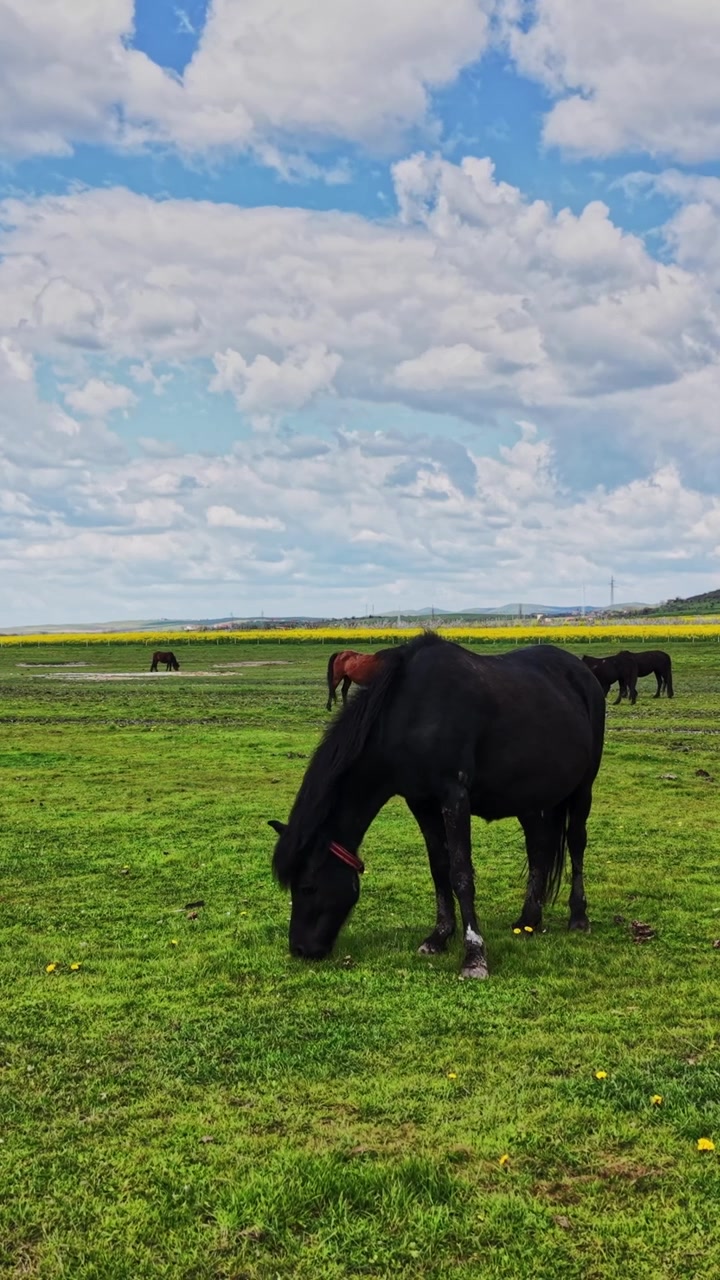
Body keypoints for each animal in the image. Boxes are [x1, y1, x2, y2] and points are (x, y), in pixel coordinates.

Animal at [270, 632, 605, 980]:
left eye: (307, 887)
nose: (300, 948)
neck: (410, 714)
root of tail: (583, 673)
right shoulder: (422, 803)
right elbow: (439, 867)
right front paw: (440, 936)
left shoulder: (454, 797)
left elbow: (461, 872)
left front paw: (474, 954)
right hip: (531, 799)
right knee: (538, 848)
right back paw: (529, 920)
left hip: (582, 788)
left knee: (576, 842)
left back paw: (579, 917)